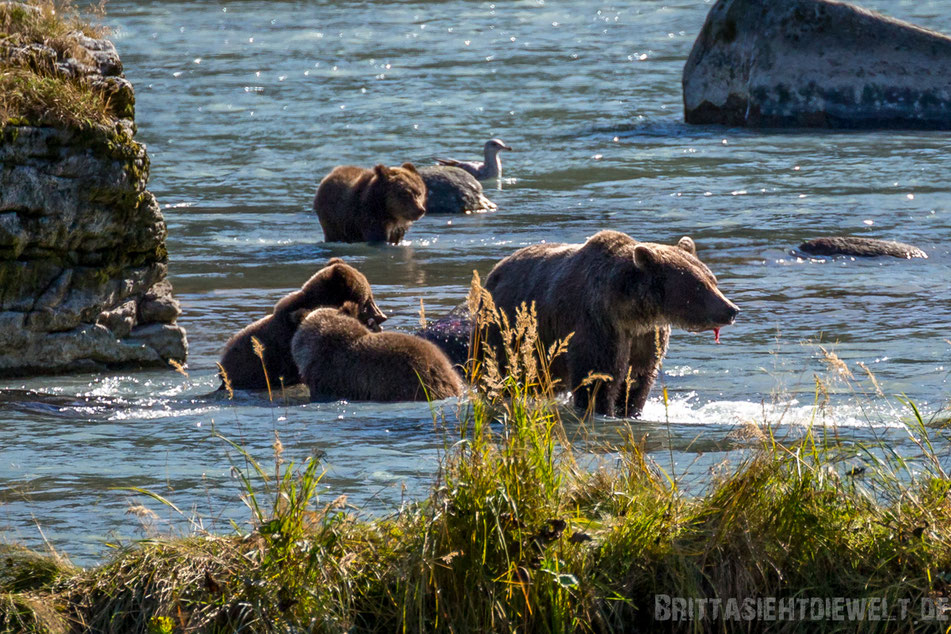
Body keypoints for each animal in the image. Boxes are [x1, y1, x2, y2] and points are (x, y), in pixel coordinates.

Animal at [488, 230, 740, 418]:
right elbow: (598, 378)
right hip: (508, 332)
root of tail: (494, 272)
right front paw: (602, 410)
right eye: (698, 286)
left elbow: (638, 380)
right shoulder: (598, 324)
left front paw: (631, 411)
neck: (631, 312)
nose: (731, 310)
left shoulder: (646, 337)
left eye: (712, 280)